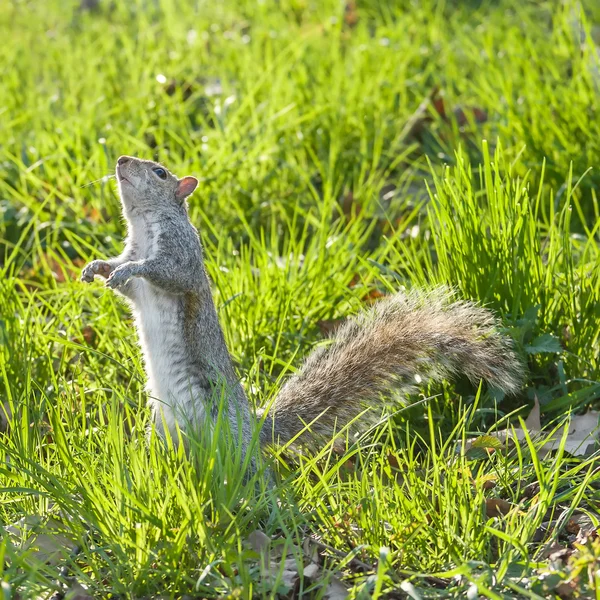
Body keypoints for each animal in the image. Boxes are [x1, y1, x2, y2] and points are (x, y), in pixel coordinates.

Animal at [81, 156, 524, 464]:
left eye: (159, 172)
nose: (121, 160)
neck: (144, 226)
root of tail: (255, 431)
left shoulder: (182, 254)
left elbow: (165, 273)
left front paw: (128, 269)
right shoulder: (134, 261)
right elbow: (127, 283)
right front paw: (98, 267)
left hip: (223, 434)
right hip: (162, 428)